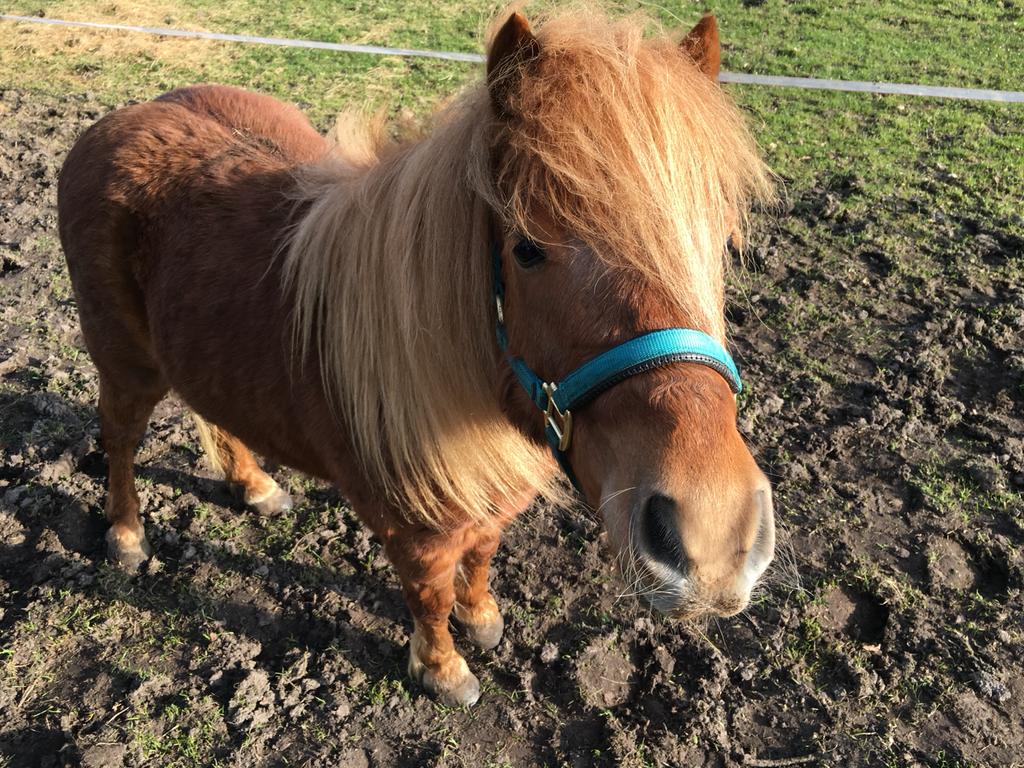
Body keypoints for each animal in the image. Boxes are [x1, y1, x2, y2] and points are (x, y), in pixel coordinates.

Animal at [57, 8, 776, 706]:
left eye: (721, 240)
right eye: (527, 250)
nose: (713, 537)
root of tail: (124, 117)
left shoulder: (491, 503)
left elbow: (481, 555)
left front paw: (480, 617)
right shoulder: (413, 531)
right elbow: (428, 592)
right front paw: (442, 668)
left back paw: (255, 486)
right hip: (125, 363)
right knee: (120, 440)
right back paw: (127, 537)